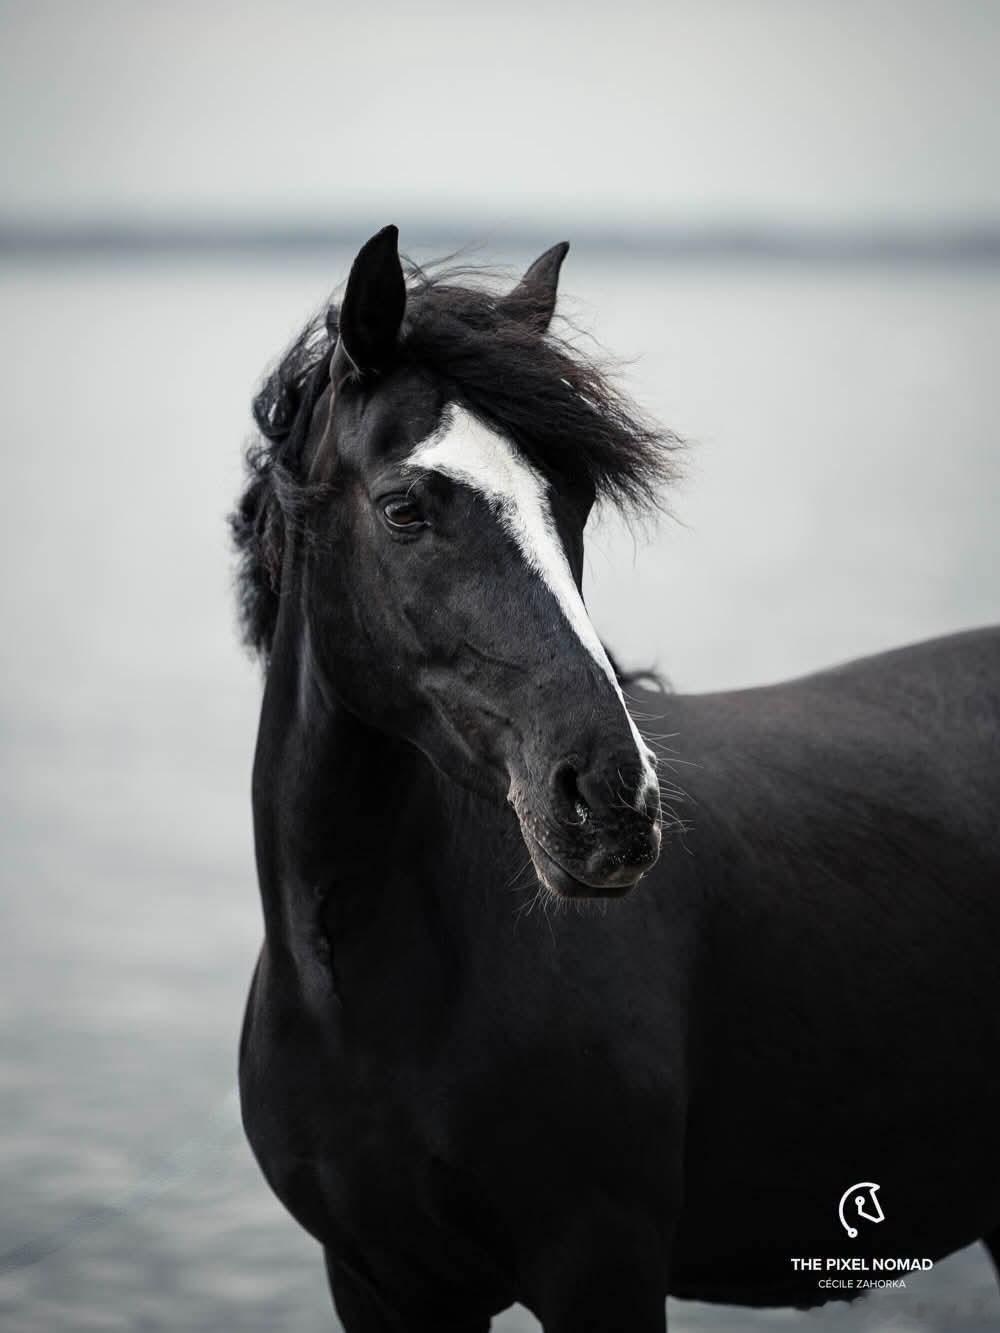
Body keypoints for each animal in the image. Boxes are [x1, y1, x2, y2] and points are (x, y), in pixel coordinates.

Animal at [232, 224, 1000, 1331]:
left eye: (576, 501)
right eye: (403, 507)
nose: (611, 805)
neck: (362, 1001)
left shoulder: (600, 1265)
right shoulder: (377, 1283)